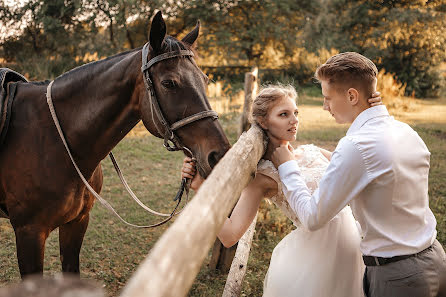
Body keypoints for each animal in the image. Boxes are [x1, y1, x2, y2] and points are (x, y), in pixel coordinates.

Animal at [0, 11, 230, 276]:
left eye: (204, 79)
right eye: (169, 83)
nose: (219, 154)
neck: (56, 141)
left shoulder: (77, 223)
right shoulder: (29, 233)